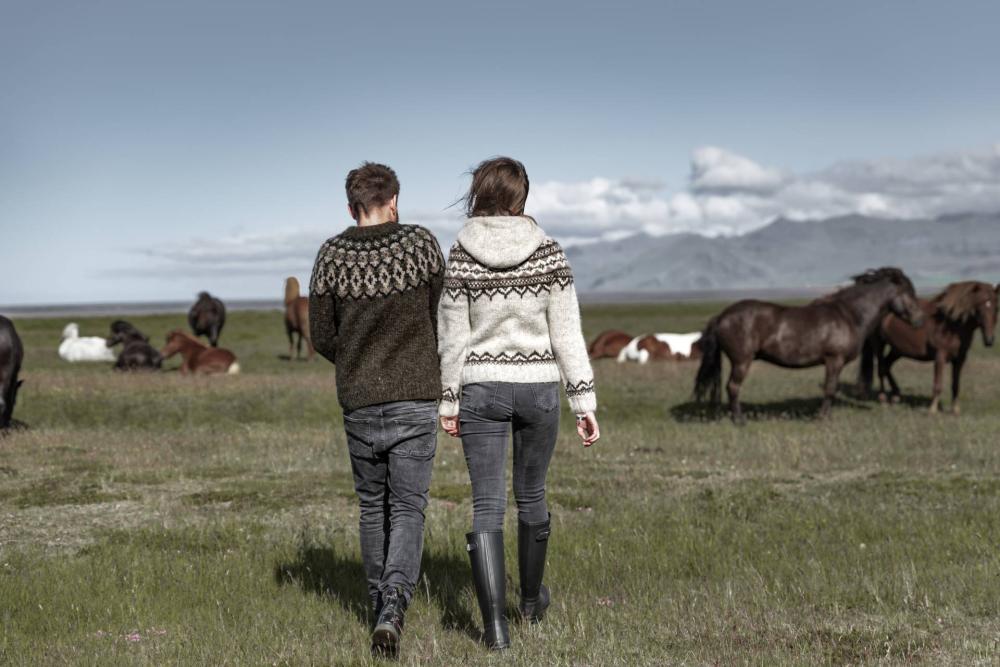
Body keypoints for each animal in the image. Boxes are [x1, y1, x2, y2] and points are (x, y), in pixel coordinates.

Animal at [696, 268, 920, 426]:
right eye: (909, 292)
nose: (919, 319)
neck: (849, 315)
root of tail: (722, 316)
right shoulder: (834, 360)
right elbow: (830, 389)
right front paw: (822, 418)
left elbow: (832, 389)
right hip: (742, 361)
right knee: (733, 387)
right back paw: (739, 421)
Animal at [856, 280, 996, 414]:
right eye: (979, 307)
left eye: (996, 307)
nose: (989, 341)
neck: (950, 325)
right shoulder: (940, 356)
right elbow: (938, 385)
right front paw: (932, 410)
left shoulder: (960, 359)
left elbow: (956, 385)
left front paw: (955, 410)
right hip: (879, 344)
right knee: (881, 368)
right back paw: (883, 399)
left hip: (897, 350)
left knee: (886, 366)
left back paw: (896, 395)